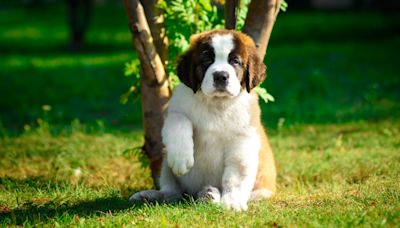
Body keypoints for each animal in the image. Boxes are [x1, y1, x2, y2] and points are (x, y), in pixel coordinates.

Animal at [130, 29, 276, 211]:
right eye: (207, 60)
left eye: (235, 61)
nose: (221, 76)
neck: (216, 104)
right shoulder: (174, 110)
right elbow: (179, 119)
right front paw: (181, 158)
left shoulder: (243, 138)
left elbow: (236, 174)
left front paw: (232, 201)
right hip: (165, 169)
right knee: (171, 192)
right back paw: (151, 196)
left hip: (262, 190)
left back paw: (209, 195)